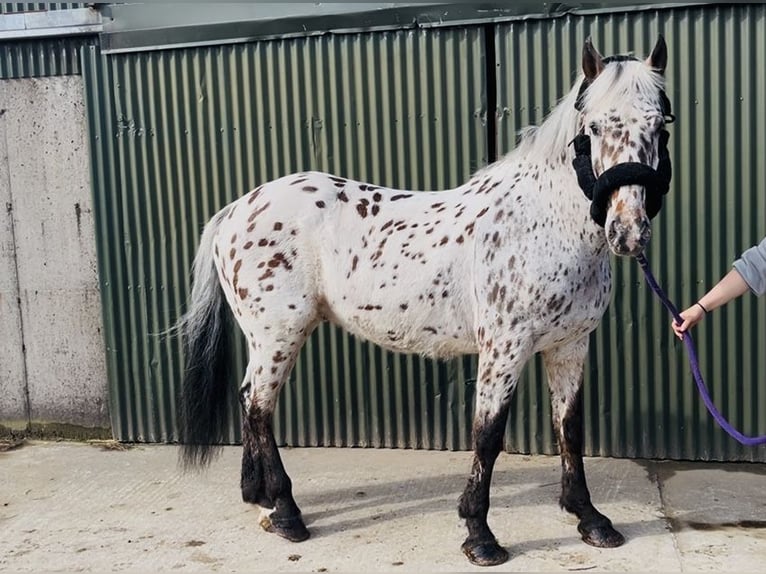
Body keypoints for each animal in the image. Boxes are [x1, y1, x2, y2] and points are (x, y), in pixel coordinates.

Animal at [176, 37, 673, 566]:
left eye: (660, 125)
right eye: (594, 128)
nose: (628, 230)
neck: (542, 220)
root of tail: (236, 209)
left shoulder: (570, 346)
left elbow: (570, 428)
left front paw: (590, 518)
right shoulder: (505, 349)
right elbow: (488, 436)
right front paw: (480, 535)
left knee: (250, 399)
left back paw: (260, 499)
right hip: (279, 335)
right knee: (259, 406)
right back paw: (287, 514)